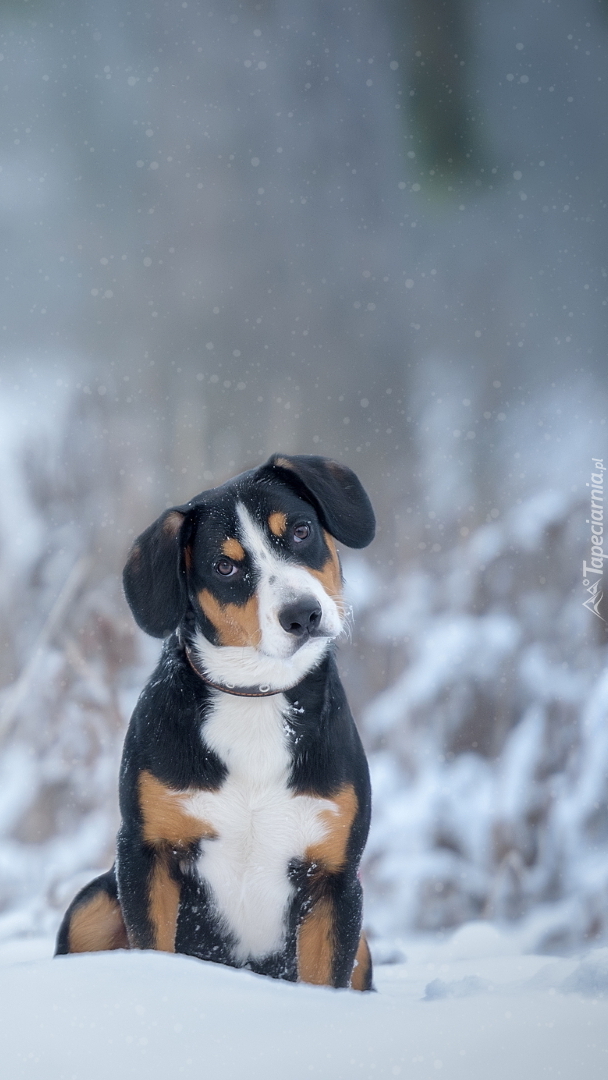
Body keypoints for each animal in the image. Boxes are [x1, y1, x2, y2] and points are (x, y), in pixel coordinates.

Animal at [58, 451, 380, 989]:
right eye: (225, 566)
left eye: (300, 531)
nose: (303, 614)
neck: (255, 698)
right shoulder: (147, 856)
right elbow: (154, 951)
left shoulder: (333, 878)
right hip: (94, 902)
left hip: (363, 945)